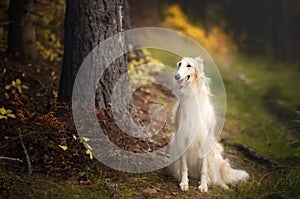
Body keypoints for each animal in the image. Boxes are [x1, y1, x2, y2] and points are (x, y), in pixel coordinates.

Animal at [169, 56, 248, 192]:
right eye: (179, 64)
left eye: (189, 65)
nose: (177, 76)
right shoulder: (182, 137)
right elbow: (184, 166)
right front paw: (184, 183)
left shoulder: (204, 138)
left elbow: (204, 169)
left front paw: (203, 185)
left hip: (215, 154)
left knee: (217, 177)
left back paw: (222, 185)